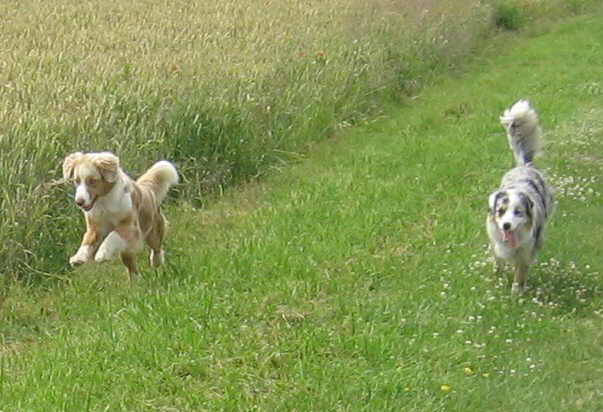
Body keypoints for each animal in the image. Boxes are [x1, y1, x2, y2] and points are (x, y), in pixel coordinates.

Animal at [65, 152, 180, 280]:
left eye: (92, 181)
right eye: (77, 181)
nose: (79, 202)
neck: (104, 202)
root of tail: (147, 190)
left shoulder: (130, 226)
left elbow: (113, 234)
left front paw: (102, 254)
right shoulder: (95, 227)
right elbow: (87, 241)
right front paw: (78, 258)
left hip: (153, 232)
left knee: (156, 248)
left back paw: (155, 262)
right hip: (126, 250)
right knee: (132, 267)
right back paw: (136, 281)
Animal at [486, 100, 556, 292]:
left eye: (518, 212)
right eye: (500, 211)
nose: (506, 225)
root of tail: (526, 165)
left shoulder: (525, 251)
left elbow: (520, 273)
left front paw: (516, 293)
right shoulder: (496, 244)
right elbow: (498, 264)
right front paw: (497, 281)